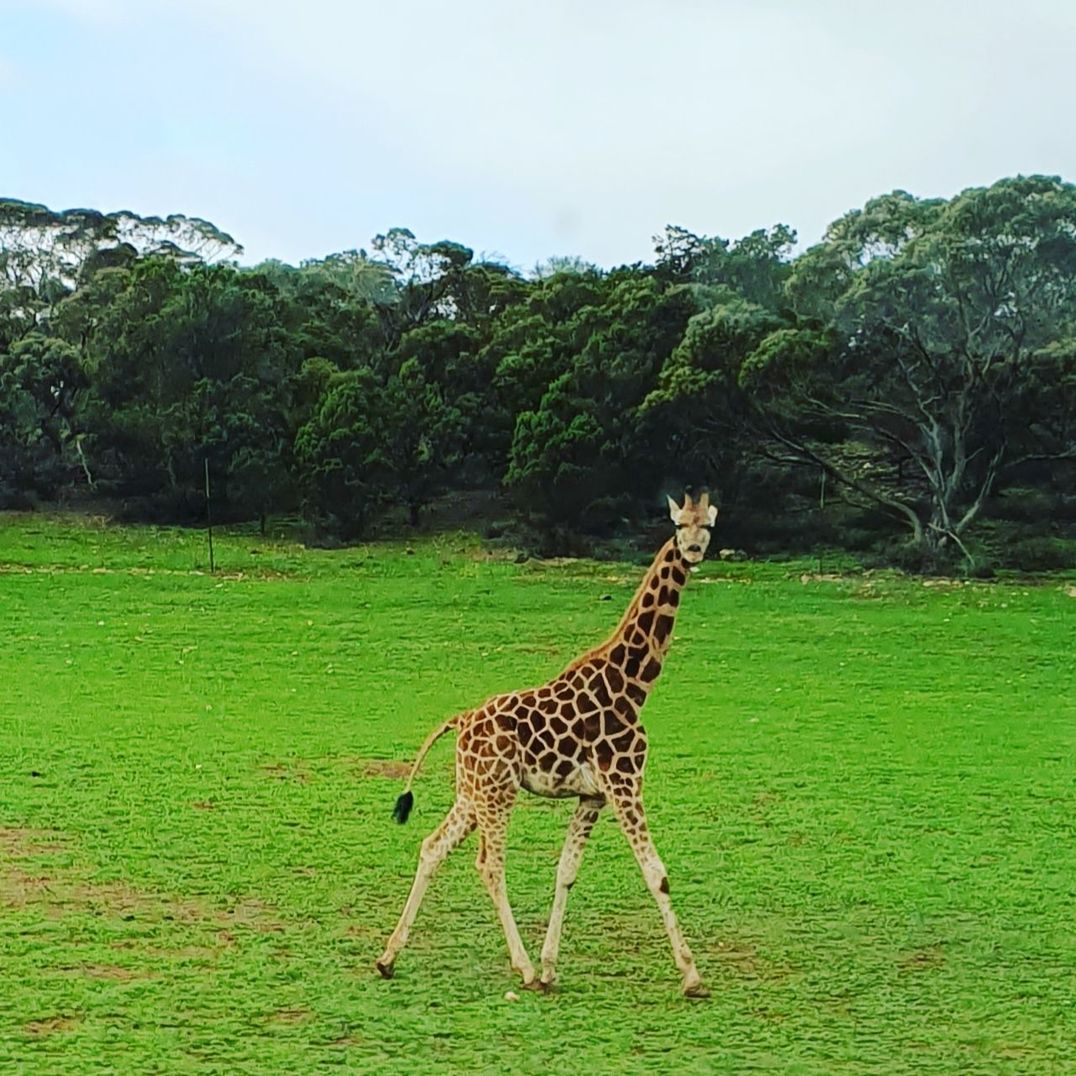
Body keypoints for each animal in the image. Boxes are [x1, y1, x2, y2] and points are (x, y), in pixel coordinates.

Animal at [374, 492, 718, 994]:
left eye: (707, 525)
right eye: (678, 525)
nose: (692, 550)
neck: (634, 686)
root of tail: (460, 721)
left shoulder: (593, 795)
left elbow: (566, 872)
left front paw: (552, 966)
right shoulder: (624, 782)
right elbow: (657, 874)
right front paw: (692, 976)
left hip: (471, 791)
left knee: (433, 846)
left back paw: (387, 958)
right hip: (498, 790)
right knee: (489, 864)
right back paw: (522, 967)